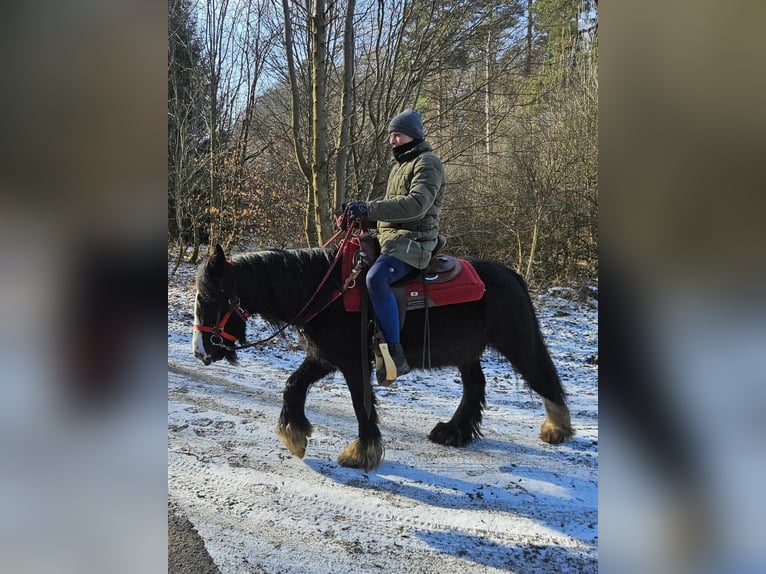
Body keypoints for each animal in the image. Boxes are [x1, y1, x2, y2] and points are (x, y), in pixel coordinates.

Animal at [195, 243, 572, 472]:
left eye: (209, 297)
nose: (200, 352)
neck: (327, 292)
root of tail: (513, 276)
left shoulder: (352, 362)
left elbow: (360, 403)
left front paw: (361, 453)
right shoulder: (325, 357)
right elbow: (293, 385)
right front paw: (295, 434)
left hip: (518, 343)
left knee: (543, 375)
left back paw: (557, 427)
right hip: (468, 353)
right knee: (474, 386)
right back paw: (454, 431)